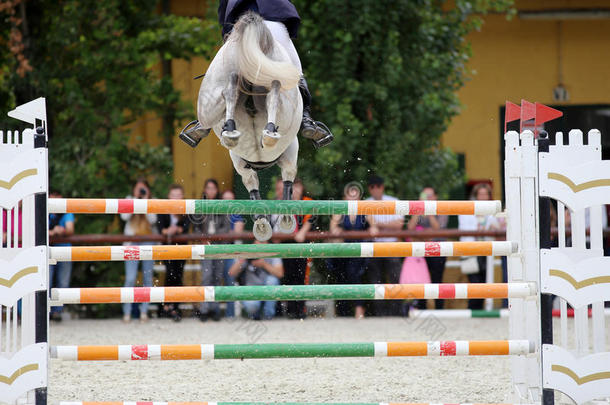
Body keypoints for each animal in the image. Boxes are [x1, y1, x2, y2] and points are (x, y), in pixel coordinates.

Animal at [190, 11, 302, 240]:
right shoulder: (286, 154)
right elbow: (282, 179)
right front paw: (271, 223)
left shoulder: (242, 165)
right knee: (274, 88)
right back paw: (267, 132)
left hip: (210, 98)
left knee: (233, 88)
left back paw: (232, 129)